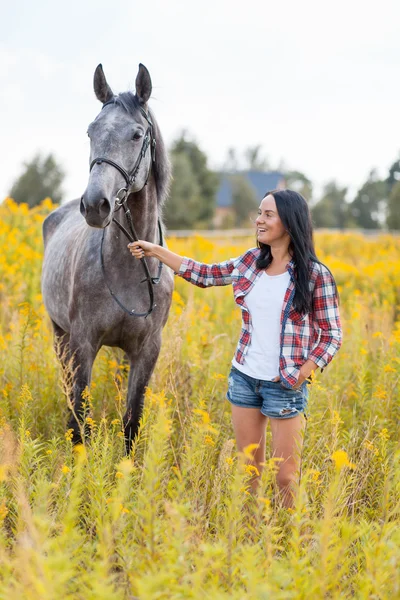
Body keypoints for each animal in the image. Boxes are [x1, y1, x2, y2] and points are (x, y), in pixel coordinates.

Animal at [41, 64, 174, 450]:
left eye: (137, 134)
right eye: (91, 131)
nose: (94, 205)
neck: (129, 266)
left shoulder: (146, 351)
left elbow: (131, 421)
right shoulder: (83, 343)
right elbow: (79, 422)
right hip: (60, 335)